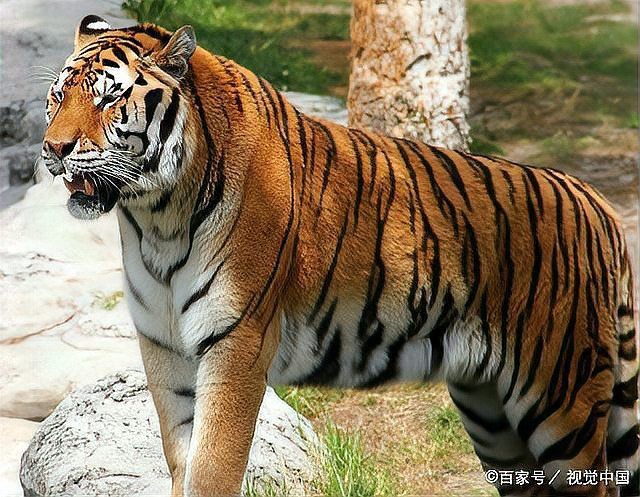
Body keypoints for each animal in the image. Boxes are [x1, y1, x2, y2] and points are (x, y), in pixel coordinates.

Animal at [40, 15, 639, 497]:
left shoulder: (236, 343)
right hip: (491, 413)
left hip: (562, 403)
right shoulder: (163, 344)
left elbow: (212, 469)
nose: (52, 149)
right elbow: (179, 458)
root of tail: (596, 202)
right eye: (57, 96)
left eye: (108, 98)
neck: (156, 217)